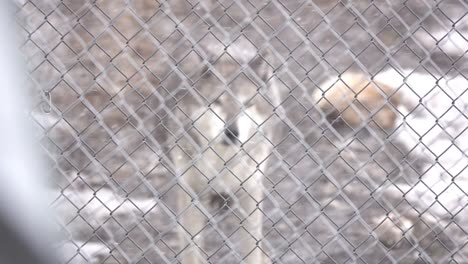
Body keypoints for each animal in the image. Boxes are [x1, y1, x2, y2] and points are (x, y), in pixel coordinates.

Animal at [165, 40, 280, 264]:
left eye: (247, 104)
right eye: (217, 102)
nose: (232, 133)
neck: (222, 161)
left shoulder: (250, 195)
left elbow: (252, 252)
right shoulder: (190, 196)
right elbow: (191, 252)